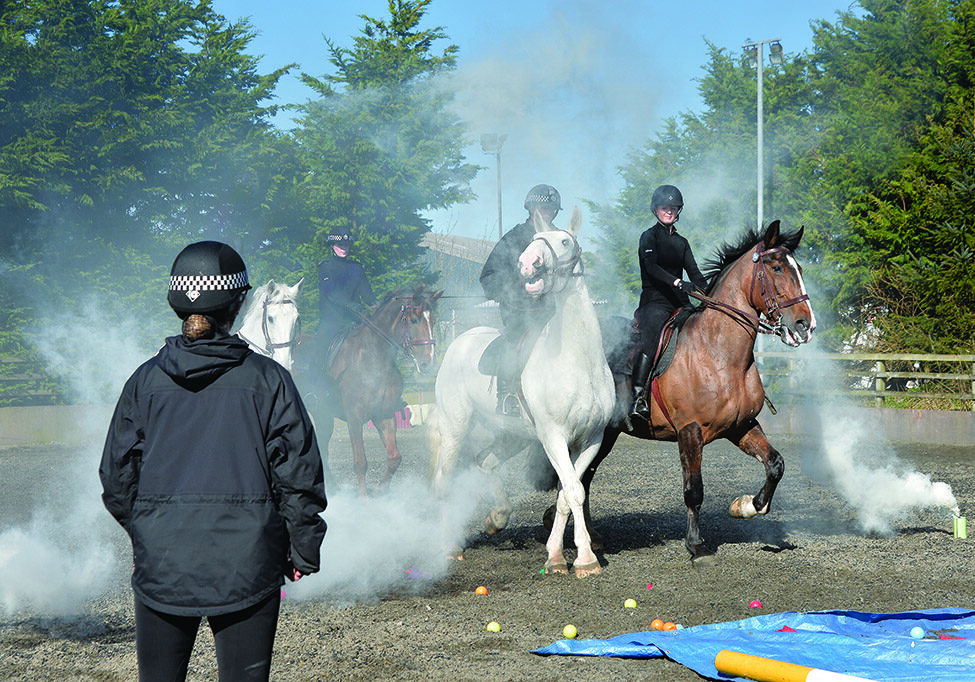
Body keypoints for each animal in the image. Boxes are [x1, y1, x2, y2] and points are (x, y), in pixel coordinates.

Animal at [314, 286, 444, 494]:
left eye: (433, 321)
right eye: (414, 320)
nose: (428, 364)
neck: (373, 357)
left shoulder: (384, 414)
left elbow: (394, 457)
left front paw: (381, 491)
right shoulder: (354, 418)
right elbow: (360, 463)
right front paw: (365, 498)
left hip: (323, 415)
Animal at [430, 206, 612, 572]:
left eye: (564, 241)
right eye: (533, 240)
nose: (528, 263)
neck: (579, 361)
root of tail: (457, 342)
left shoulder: (590, 440)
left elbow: (568, 493)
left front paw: (557, 555)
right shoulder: (554, 437)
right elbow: (573, 491)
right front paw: (585, 559)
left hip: (511, 435)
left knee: (485, 462)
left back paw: (497, 518)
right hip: (455, 428)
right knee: (446, 480)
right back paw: (450, 547)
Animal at [548, 219, 816, 564]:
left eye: (798, 268)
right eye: (777, 267)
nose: (805, 326)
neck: (718, 353)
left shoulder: (742, 427)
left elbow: (775, 465)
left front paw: (746, 506)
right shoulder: (690, 431)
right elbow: (694, 490)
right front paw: (697, 545)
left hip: (605, 434)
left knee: (584, 478)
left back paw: (590, 539)